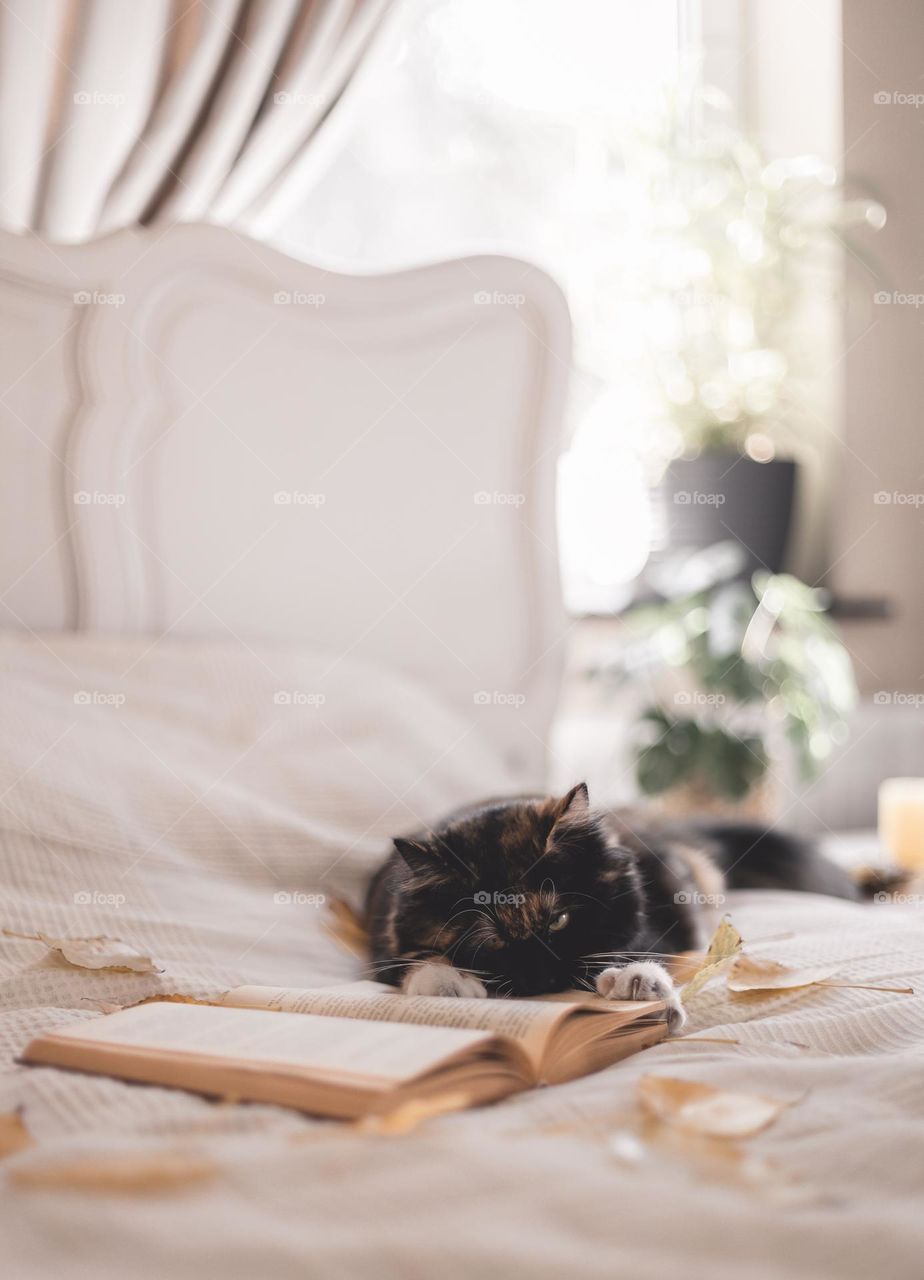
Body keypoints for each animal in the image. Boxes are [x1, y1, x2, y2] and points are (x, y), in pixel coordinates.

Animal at [363, 773, 860, 1034]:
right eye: (493, 939)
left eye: (559, 919)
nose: (543, 977)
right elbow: (418, 962)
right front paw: (451, 986)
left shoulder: (654, 921)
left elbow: (632, 950)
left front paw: (635, 984)